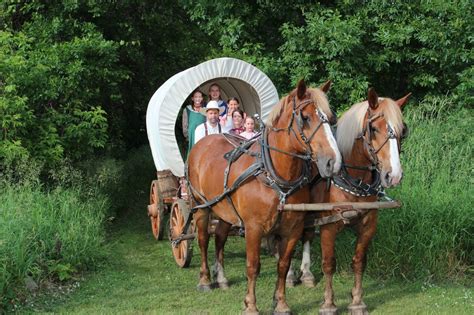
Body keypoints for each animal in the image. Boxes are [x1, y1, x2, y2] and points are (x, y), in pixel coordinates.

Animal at [186, 80, 340, 314]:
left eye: (331, 118)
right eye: (305, 118)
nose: (333, 161)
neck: (274, 176)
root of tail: (204, 142)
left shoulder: (292, 229)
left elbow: (283, 265)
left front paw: (281, 303)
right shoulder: (254, 228)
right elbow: (253, 266)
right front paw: (250, 304)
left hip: (224, 209)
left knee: (220, 237)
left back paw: (221, 278)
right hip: (201, 206)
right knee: (204, 239)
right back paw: (205, 280)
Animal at [308, 87, 412, 315]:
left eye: (403, 131)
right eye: (373, 128)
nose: (394, 176)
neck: (353, 181)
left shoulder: (368, 226)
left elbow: (358, 262)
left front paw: (357, 301)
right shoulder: (328, 228)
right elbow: (329, 263)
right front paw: (328, 303)